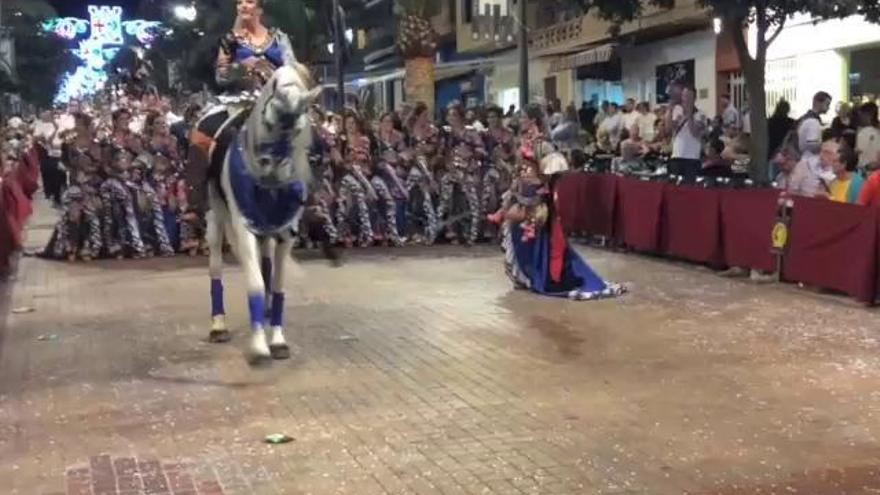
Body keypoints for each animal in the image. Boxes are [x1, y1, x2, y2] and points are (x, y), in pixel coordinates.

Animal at [205, 65, 320, 360]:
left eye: (299, 128)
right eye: (270, 121)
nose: (270, 167)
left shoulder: (285, 233)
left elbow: (278, 286)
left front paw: (277, 340)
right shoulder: (244, 228)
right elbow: (255, 285)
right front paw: (259, 345)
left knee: (265, 263)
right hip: (215, 217)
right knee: (216, 265)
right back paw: (218, 326)